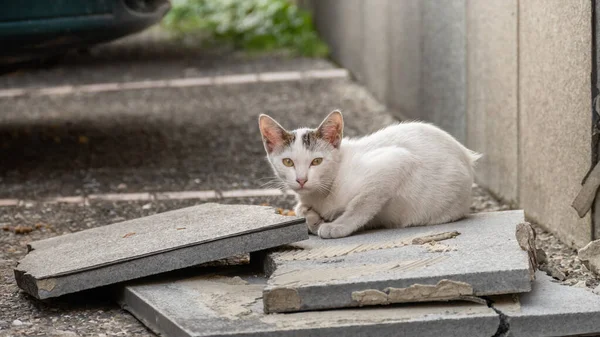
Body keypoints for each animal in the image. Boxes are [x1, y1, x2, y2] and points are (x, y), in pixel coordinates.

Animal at [256, 109, 478, 238]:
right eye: (288, 162)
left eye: (316, 161)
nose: (301, 180)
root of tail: (467, 156)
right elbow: (300, 209)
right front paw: (312, 218)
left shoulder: (396, 161)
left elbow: (362, 203)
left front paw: (336, 225)